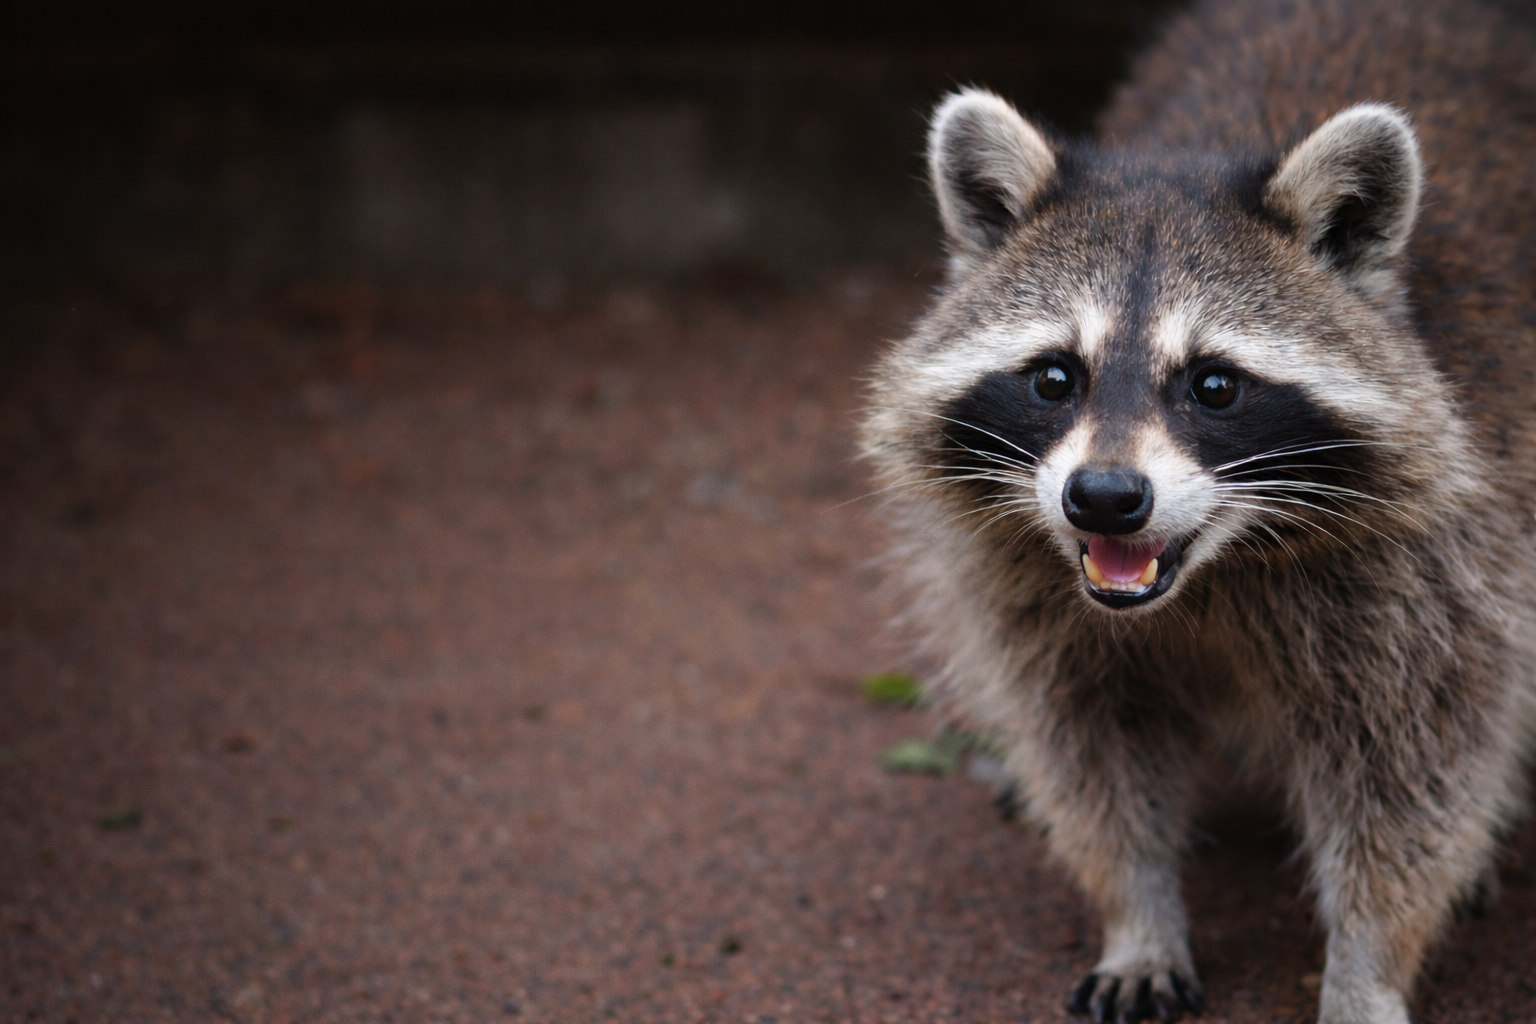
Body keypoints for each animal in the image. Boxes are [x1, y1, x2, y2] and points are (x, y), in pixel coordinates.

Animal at [860, 1, 1536, 1022]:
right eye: (1054, 378)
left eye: (1214, 386)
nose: (1103, 497)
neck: (1213, 575)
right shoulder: (1040, 602)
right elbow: (1091, 752)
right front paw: (1135, 910)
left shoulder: (1449, 568)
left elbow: (1414, 778)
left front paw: (1368, 963)